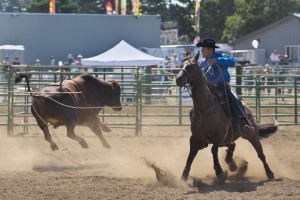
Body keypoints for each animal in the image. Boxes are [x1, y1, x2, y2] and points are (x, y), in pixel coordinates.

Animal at [176, 52, 276, 181]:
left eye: (191, 66)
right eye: (181, 65)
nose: (178, 79)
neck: (205, 109)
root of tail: (246, 108)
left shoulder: (219, 135)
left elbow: (213, 150)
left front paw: (219, 172)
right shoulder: (195, 138)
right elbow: (190, 156)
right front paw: (183, 177)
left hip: (251, 134)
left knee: (260, 154)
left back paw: (269, 173)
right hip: (227, 138)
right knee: (233, 144)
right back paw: (232, 163)